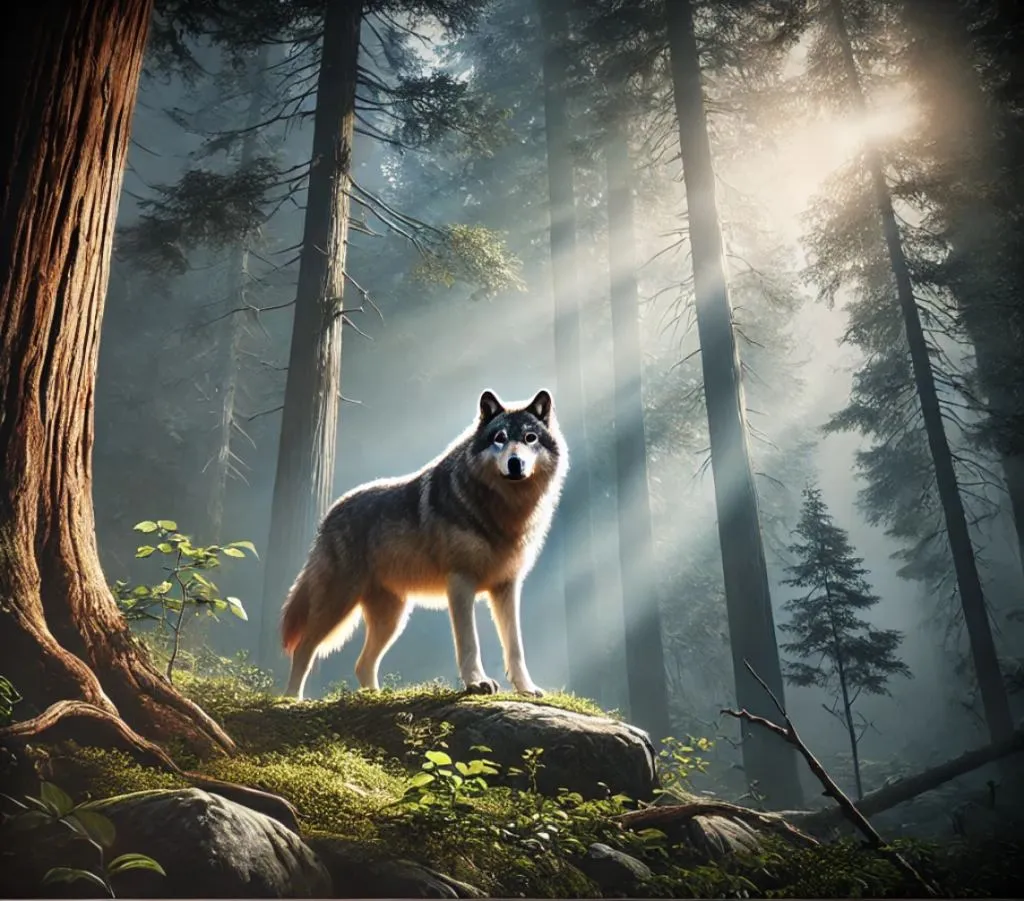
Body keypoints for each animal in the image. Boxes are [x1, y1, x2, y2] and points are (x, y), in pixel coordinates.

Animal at [280, 388, 567, 700]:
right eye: (500, 437)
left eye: (530, 438)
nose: (515, 463)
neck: (503, 511)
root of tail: (329, 513)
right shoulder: (461, 583)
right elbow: (469, 643)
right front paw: (477, 683)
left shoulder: (507, 587)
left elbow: (515, 647)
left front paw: (526, 689)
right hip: (340, 603)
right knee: (304, 648)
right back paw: (291, 699)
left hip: (392, 619)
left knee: (362, 664)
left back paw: (377, 697)